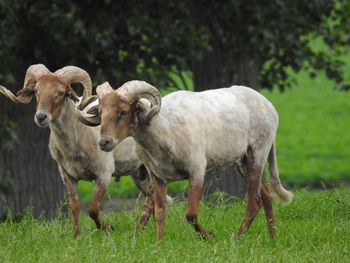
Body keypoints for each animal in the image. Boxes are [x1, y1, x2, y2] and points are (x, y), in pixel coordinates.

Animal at [0, 67, 153, 238]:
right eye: (36, 90)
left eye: (61, 92)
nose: (41, 117)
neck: (74, 143)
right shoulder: (67, 175)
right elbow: (74, 206)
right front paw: (75, 236)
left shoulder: (104, 173)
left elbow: (93, 209)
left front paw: (108, 229)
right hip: (139, 173)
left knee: (151, 198)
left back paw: (138, 230)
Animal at [78, 81, 292, 242]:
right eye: (101, 112)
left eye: (123, 112)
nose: (104, 142)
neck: (163, 130)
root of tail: (268, 104)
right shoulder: (157, 175)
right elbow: (160, 212)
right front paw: (158, 244)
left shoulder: (196, 170)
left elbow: (190, 214)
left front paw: (209, 236)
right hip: (242, 162)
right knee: (266, 195)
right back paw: (273, 238)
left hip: (258, 154)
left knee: (253, 203)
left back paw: (236, 237)